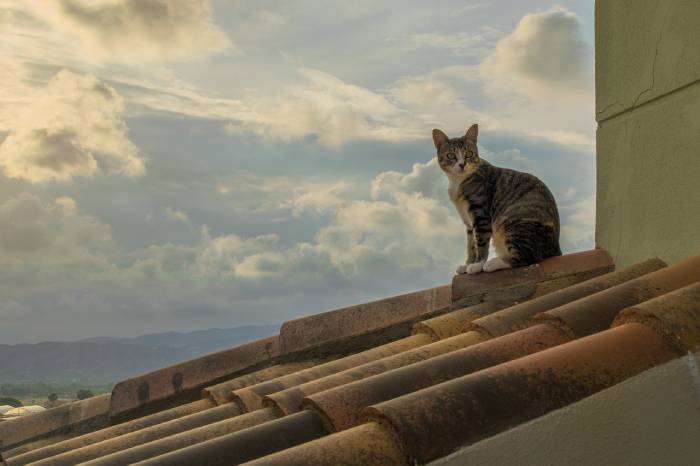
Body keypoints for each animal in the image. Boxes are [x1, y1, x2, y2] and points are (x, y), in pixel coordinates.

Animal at [432, 124, 564, 276]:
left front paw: (477, 265)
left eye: (469, 154)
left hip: (514, 222)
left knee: (528, 257)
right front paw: (467, 264)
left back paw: (493, 263)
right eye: (451, 155)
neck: (458, 182)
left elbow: (481, 243)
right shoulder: (468, 221)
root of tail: (556, 247)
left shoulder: (481, 215)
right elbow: (471, 245)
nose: (462, 164)